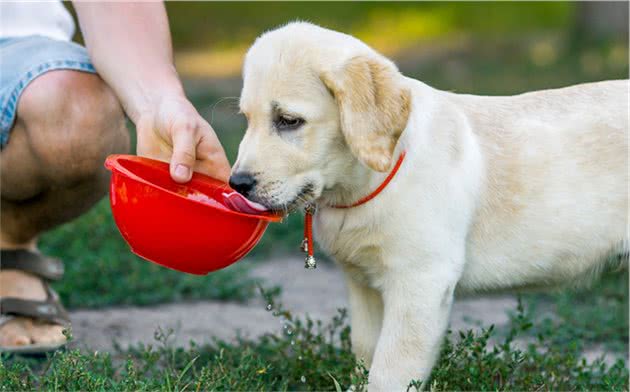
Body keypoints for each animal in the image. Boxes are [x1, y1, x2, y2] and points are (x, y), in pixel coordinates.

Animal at [232, 23, 630, 390]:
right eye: (246, 119)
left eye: (288, 121)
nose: (238, 183)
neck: (366, 184)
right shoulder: (363, 286)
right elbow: (365, 353)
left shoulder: (421, 281)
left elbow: (389, 371)